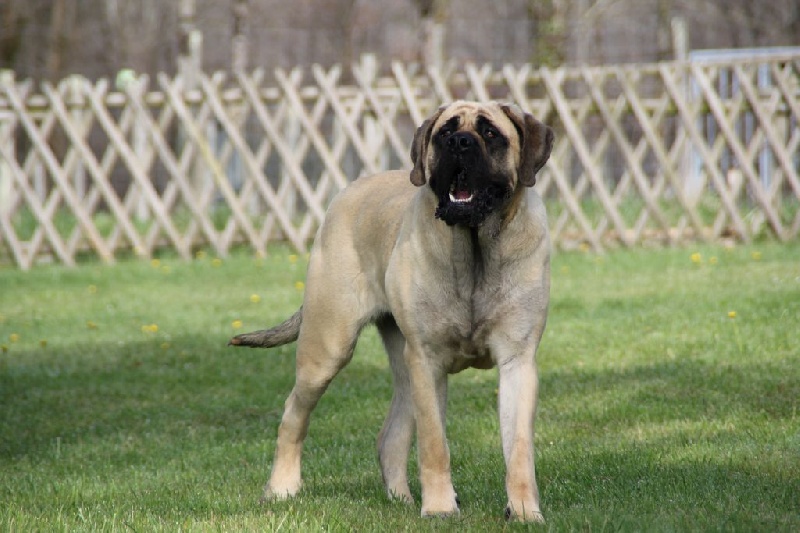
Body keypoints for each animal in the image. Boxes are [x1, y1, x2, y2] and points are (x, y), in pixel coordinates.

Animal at [230, 100, 554, 522]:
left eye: (490, 133)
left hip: (402, 366)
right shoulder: (427, 361)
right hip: (328, 349)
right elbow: (434, 445)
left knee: (391, 436)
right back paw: (282, 487)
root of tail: (348, 191)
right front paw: (440, 509)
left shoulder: (518, 361)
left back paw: (401, 499)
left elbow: (519, 450)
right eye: (445, 132)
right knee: (293, 415)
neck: (475, 252)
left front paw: (524, 511)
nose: (460, 143)